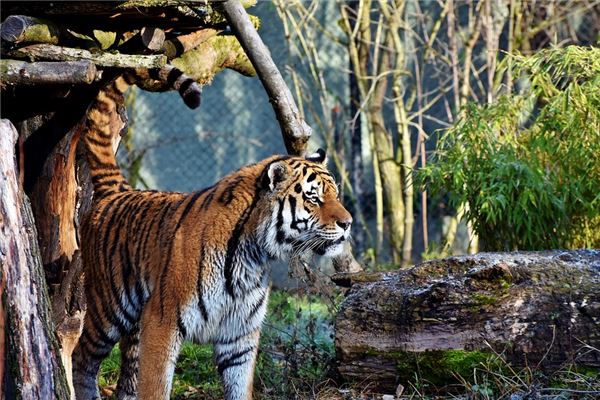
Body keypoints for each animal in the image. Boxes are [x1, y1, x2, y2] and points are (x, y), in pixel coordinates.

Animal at [71, 72, 352, 400]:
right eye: (313, 198)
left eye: (335, 194)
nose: (348, 223)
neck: (254, 255)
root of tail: (119, 191)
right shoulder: (162, 321)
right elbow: (155, 387)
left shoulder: (240, 335)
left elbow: (240, 388)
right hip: (108, 307)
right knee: (81, 358)